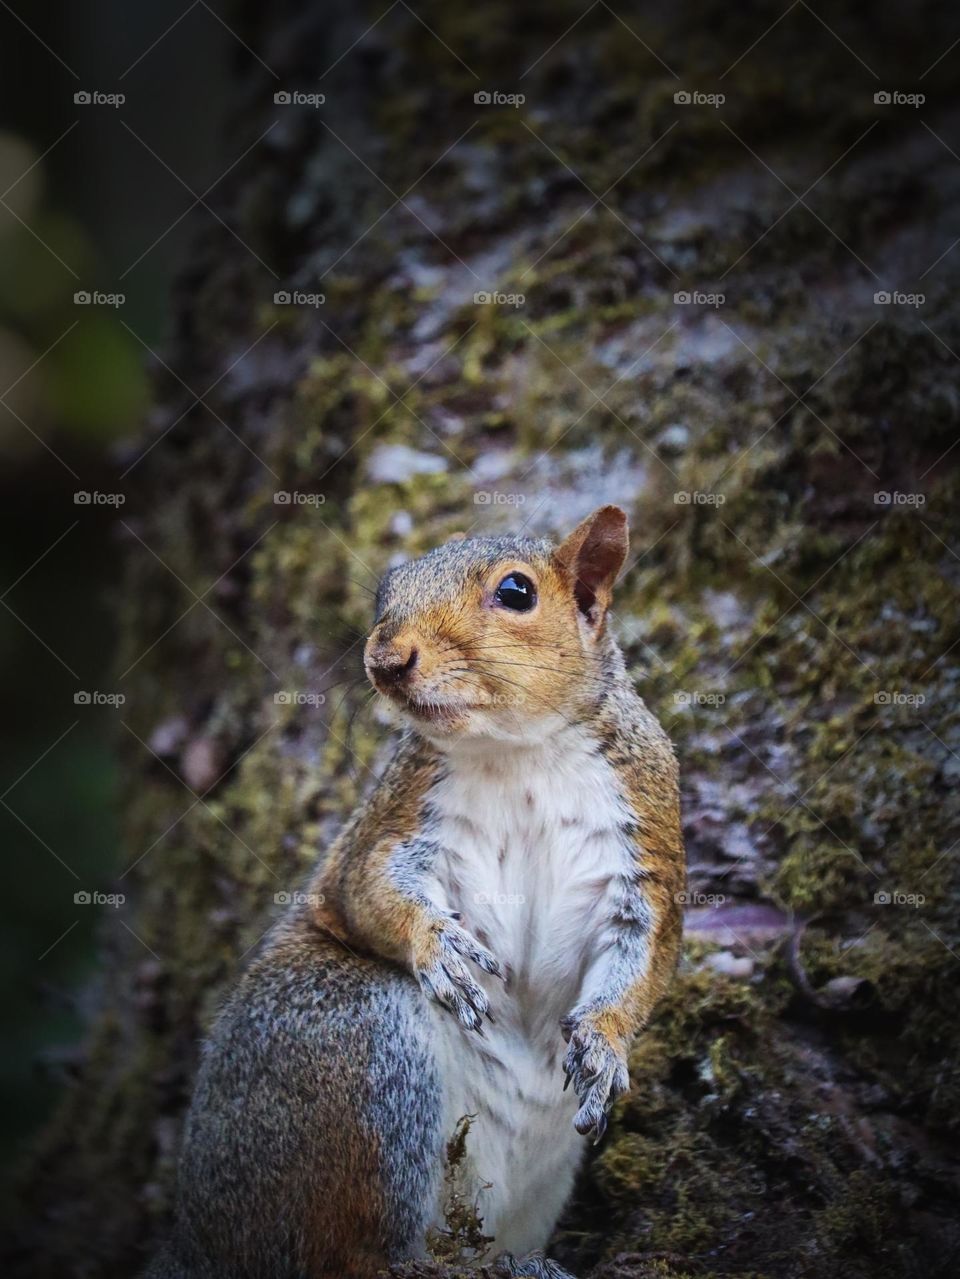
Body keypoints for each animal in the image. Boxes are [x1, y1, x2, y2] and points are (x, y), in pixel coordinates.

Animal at [148, 503, 685, 1273]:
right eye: (385, 593)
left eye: (517, 592)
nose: (386, 659)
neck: (516, 750)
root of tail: (197, 1238)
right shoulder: (394, 822)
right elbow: (369, 891)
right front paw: (438, 945)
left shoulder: (644, 845)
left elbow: (644, 953)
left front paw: (606, 1042)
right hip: (354, 1043)